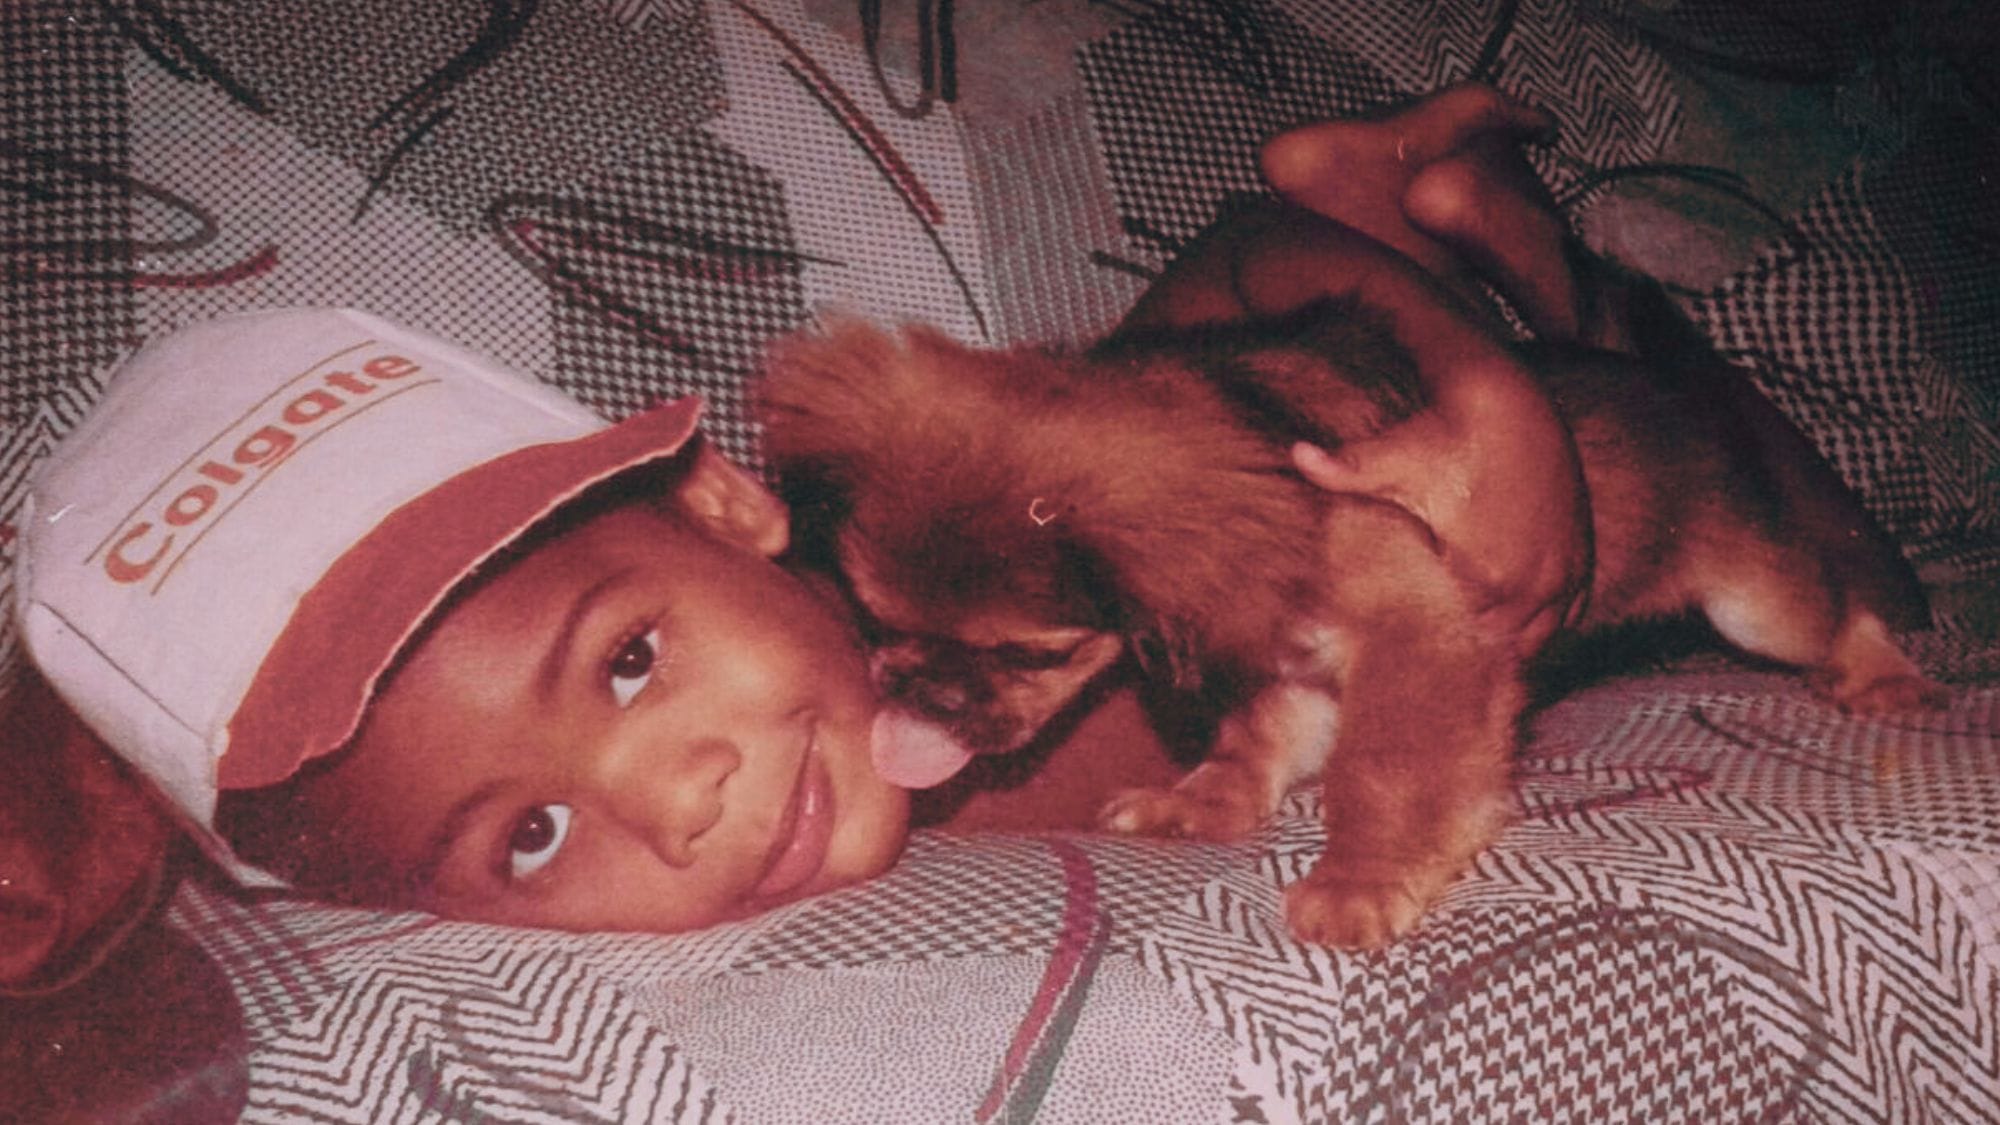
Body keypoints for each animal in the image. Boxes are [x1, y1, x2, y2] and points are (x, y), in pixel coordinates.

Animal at [752, 241, 1936, 948]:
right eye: (875, 620)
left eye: (1027, 652)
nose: (916, 693)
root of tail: (1670, 381)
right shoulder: (1284, 663)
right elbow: (1254, 743)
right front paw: (1203, 803)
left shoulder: (1418, 647)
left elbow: (1383, 776)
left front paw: (1362, 882)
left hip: (1751, 601)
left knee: (1839, 604)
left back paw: (1884, 677)